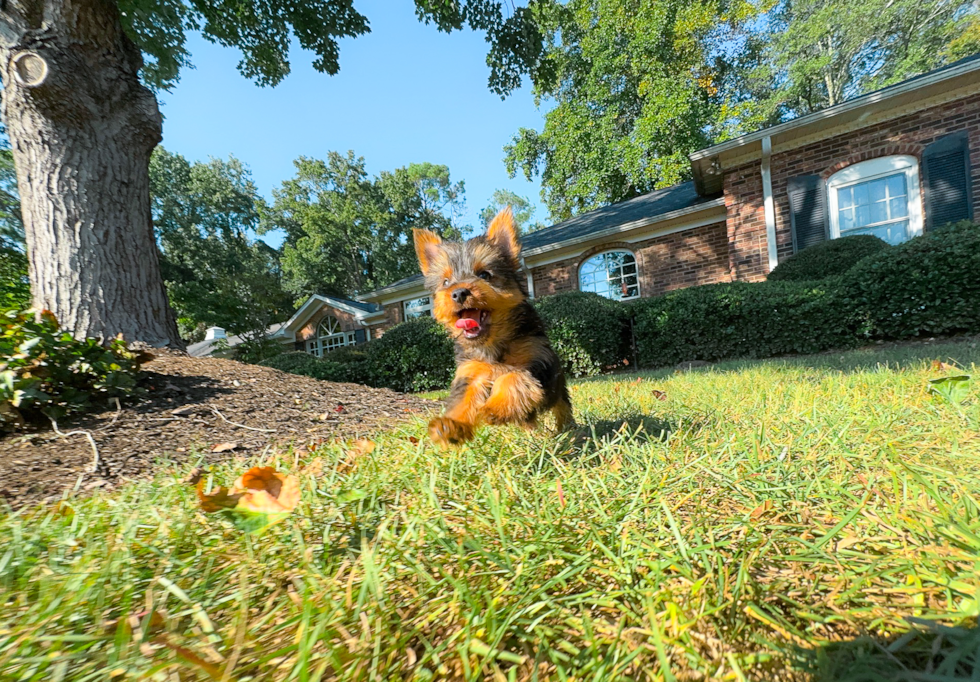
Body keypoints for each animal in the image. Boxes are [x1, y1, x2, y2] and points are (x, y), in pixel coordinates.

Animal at [414, 207, 576, 446]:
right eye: (446, 282)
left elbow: (514, 377)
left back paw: (568, 429)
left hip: (557, 385)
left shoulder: (537, 359)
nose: (458, 292)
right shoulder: (471, 371)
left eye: (484, 275)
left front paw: (495, 408)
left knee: (561, 406)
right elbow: (464, 398)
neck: (491, 344)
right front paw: (451, 425)